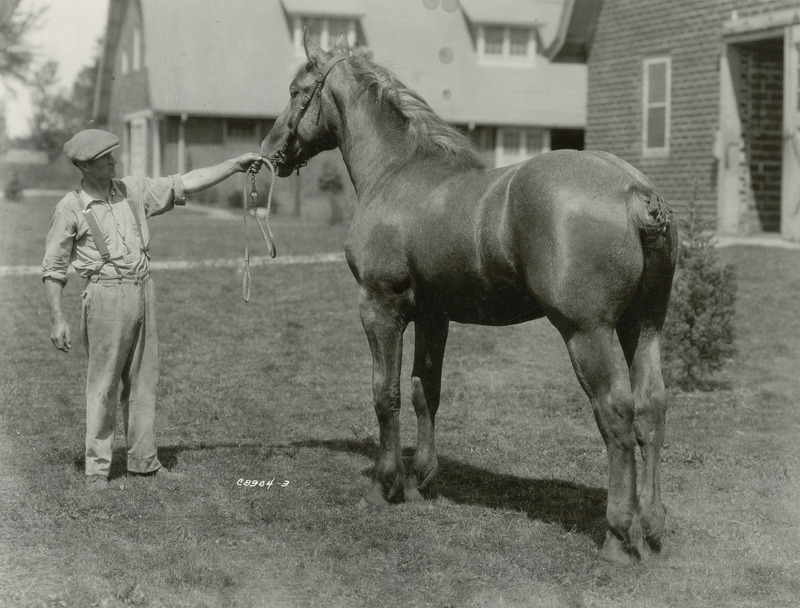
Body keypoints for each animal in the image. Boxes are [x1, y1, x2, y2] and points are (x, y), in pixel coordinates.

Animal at [260, 34, 676, 564]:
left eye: (297, 91)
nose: (271, 152)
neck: (397, 171)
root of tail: (634, 190)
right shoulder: (433, 316)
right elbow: (425, 391)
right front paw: (420, 480)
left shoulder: (380, 308)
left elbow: (385, 393)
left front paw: (384, 485)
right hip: (643, 328)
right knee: (651, 410)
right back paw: (653, 527)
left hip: (588, 334)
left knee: (617, 415)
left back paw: (620, 535)